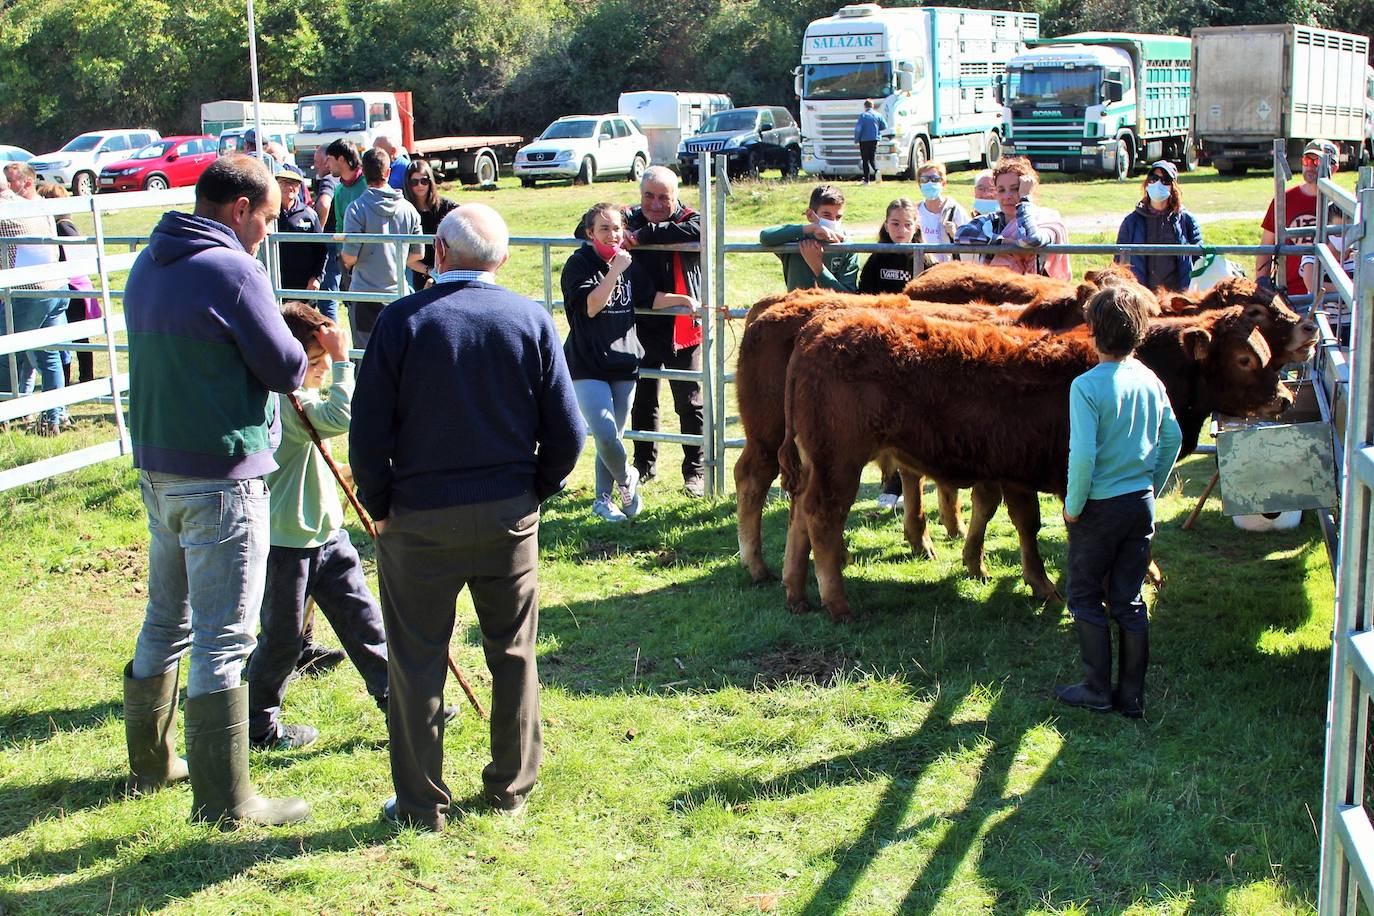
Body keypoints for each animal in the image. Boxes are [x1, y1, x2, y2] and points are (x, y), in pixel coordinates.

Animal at [780, 307, 1291, 623]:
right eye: (1245, 359)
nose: (1284, 398)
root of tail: (821, 326)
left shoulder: (1013, 471)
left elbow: (1015, 520)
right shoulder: (1063, 477)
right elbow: (1046, 525)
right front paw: (1064, 584)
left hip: (818, 460)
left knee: (800, 513)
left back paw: (796, 593)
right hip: (839, 460)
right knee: (821, 516)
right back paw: (837, 603)